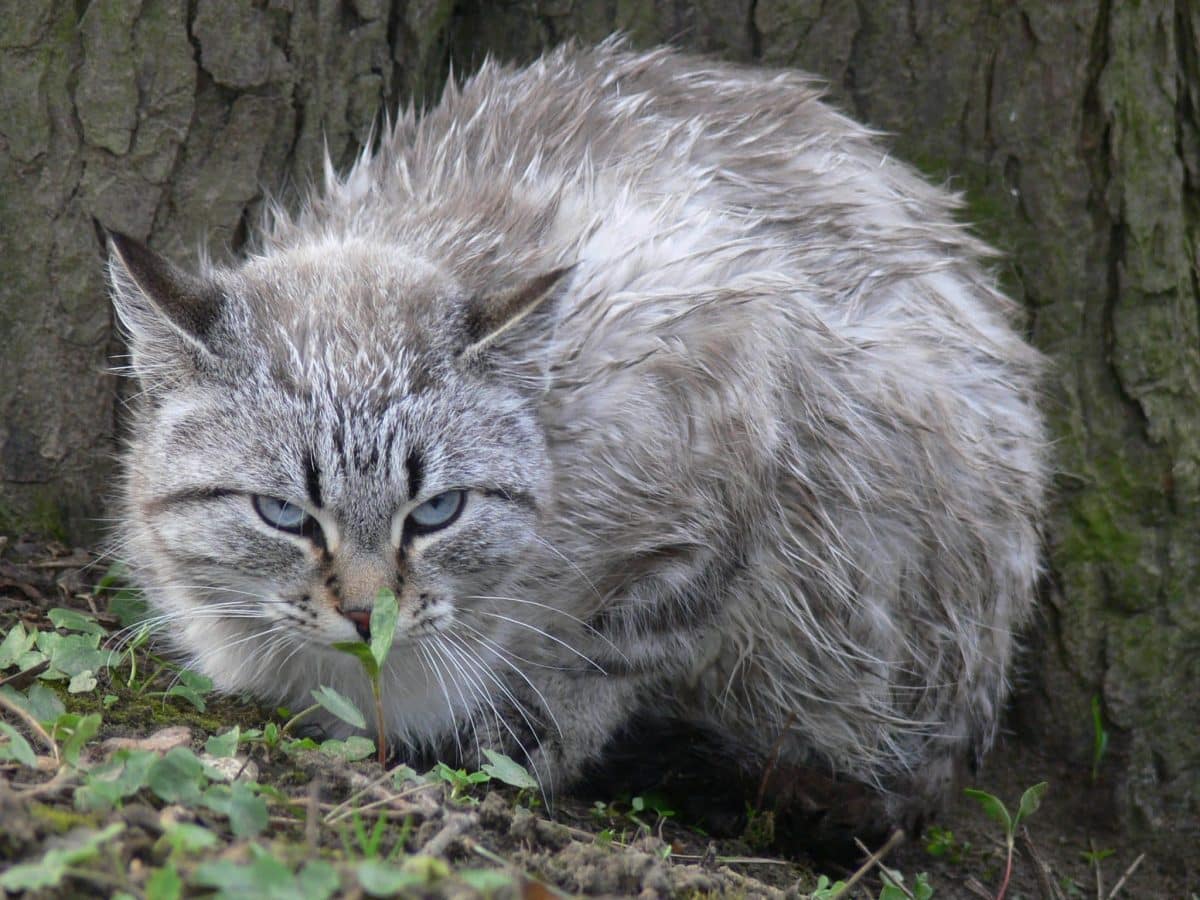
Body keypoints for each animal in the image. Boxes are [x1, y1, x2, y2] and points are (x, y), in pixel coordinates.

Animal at [108, 40, 1046, 844]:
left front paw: (511, 748)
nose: (368, 615)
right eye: (285, 516)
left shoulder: (741, 412)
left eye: (437, 513)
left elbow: (605, 662)